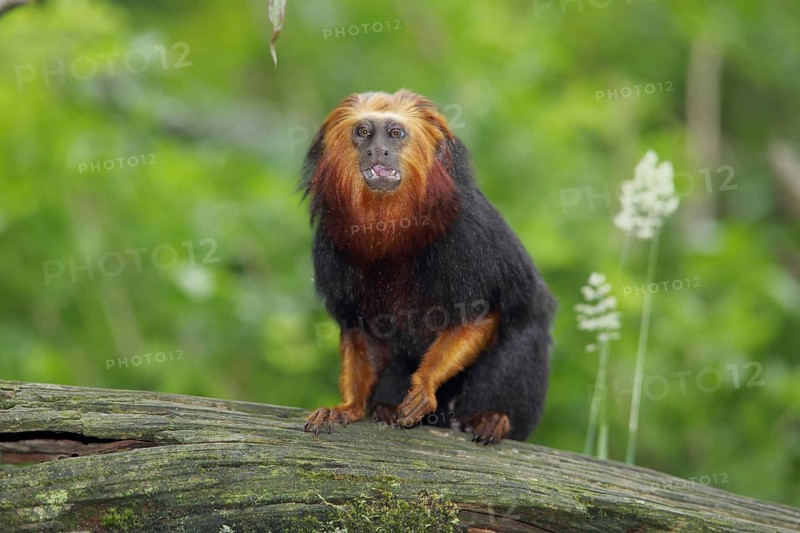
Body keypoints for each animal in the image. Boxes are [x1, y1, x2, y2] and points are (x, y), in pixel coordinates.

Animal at [301, 90, 555, 444]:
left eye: (395, 133)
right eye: (363, 132)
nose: (376, 151)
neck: (390, 224)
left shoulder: (465, 234)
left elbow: (476, 317)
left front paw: (424, 386)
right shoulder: (329, 246)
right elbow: (360, 330)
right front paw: (348, 407)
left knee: (523, 336)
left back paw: (491, 419)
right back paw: (384, 408)